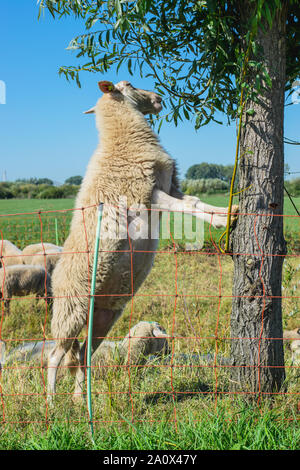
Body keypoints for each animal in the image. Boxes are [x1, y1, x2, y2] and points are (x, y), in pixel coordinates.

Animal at [47, 81, 237, 404]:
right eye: (129, 84)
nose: (159, 99)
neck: (122, 140)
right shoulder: (147, 191)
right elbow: (188, 208)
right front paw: (223, 221)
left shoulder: (169, 185)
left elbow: (196, 202)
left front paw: (229, 212)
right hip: (69, 309)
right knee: (55, 355)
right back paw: (50, 403)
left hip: (103, 315)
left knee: (81, 354)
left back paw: (80, 399)